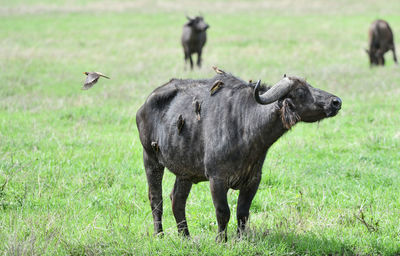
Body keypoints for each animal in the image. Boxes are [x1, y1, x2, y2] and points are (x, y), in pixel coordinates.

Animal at [136, 69, 342, 241]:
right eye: (300, 91)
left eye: (310, 85)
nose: (336, 102)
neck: (245, 125)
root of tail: (144, 106)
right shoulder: (217, 179)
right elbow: (223, 212)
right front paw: (221, 240)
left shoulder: (253, 180)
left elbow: (242, 212)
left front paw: (240, 238)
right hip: (151, 159)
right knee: (156, 198)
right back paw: (159, 234)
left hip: (185, 172)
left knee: (177, 200)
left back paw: (185, 236)